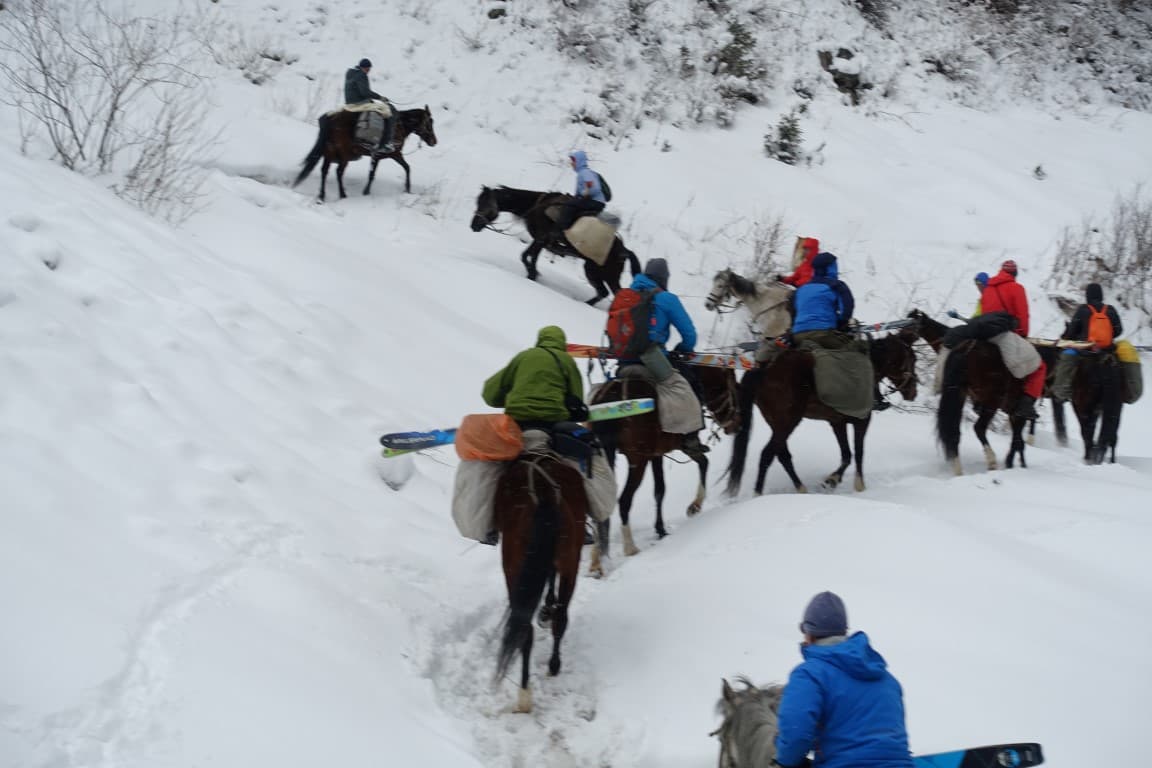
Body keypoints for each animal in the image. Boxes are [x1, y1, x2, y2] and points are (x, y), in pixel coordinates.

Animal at [294, 105, 437, 201]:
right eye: (429, 123)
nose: (434, 141)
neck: (399, 125)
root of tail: (332, 118)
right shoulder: (382, 155)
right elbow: (372, 174)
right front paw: (366, 192)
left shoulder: (395, 154)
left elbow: (407, 168)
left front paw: (407, 189)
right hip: (343, 155)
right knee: (338, 172)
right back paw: (342, 195)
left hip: (330, 152)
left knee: (325, 171)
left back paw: (322, 195)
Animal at [472, 184, 645, 303]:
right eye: (478, 202)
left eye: (485, 204)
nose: (473, 225)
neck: (537, 206)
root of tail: (625, 250)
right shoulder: (541, 241)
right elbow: (530, 256)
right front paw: (533, 274)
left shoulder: (541, 238)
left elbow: (526, 256)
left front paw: (532, 274)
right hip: (595, 270)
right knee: (603, 293)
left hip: (603, 273)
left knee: (613, 293)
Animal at [493, 453, 585, 713]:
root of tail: (543, 494)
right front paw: (546, 609)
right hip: (570, 560)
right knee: (560, 618)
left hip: (513, 568)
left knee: (528, 625)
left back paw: (527, 691)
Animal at [589, 363, 741, 554]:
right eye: (733, 387)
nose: (737, 425)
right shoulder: (678, 446)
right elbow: (702, 462)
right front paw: (695, 505)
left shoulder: (657, 454)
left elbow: (660, 490)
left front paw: (661, 529)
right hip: (637, 460)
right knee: (624, 500)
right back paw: (630, 547)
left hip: (606, 456)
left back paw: (598, 556)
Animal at [728, 333, 916, 495]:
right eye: (913, 359)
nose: (913, 392)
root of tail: (764, 368)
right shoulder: (862, 420)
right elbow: (858, 452)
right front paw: (859, 485)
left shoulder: (837, 422)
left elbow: (846, 454)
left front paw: (832, 480)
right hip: (787, 422)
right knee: (767, 455)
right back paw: (758, 493)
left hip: (777, 423)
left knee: (782, 456)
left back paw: (801, 488)